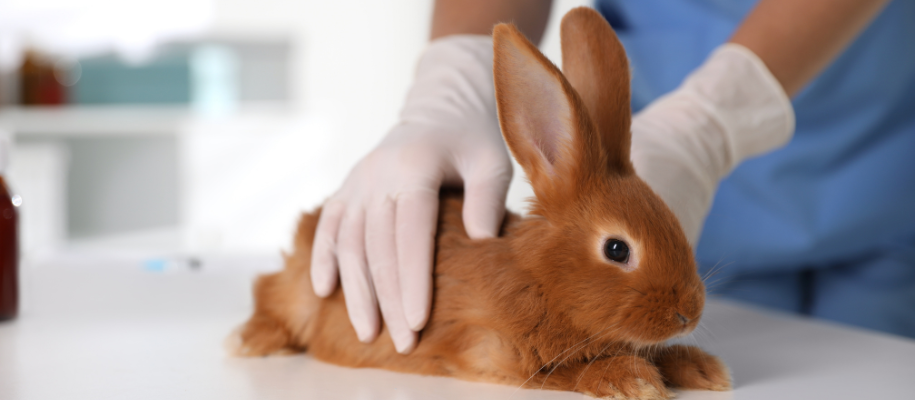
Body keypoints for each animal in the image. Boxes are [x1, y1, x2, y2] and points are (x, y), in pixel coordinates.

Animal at [233, 7, 732, 400]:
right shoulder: (496, 354)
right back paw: (251, 340)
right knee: (268, 294)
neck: (541, 280)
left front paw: (702, 368)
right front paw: (632, 380)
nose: (689, 314)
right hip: (307, 287)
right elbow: (569, 371)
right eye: (616, 249)